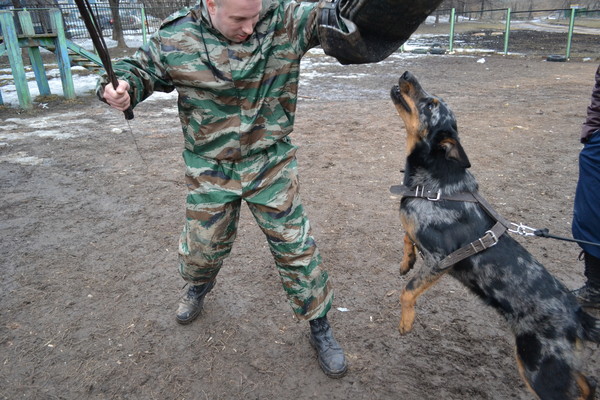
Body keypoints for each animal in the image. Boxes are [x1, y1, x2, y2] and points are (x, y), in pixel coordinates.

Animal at [390, 72, 600, 400]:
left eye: (430, 104)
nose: (406, 74)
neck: (434, 184)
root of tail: (578, 317)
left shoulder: (440, 259)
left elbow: (408, 289)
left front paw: (406, 321)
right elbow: (406, 236)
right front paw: (405, 261)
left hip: (538, 368)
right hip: (557, 365)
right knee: (587, 383)